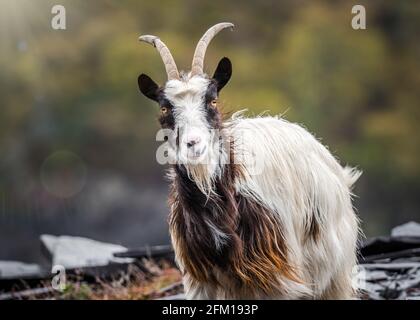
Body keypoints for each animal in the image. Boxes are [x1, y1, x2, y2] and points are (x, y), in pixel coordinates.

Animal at [137, 23, 360, 300]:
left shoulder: (277, 275)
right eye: (165, 108)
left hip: (334, 270)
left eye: (212, 100)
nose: (194, 144)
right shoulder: (200, 279)